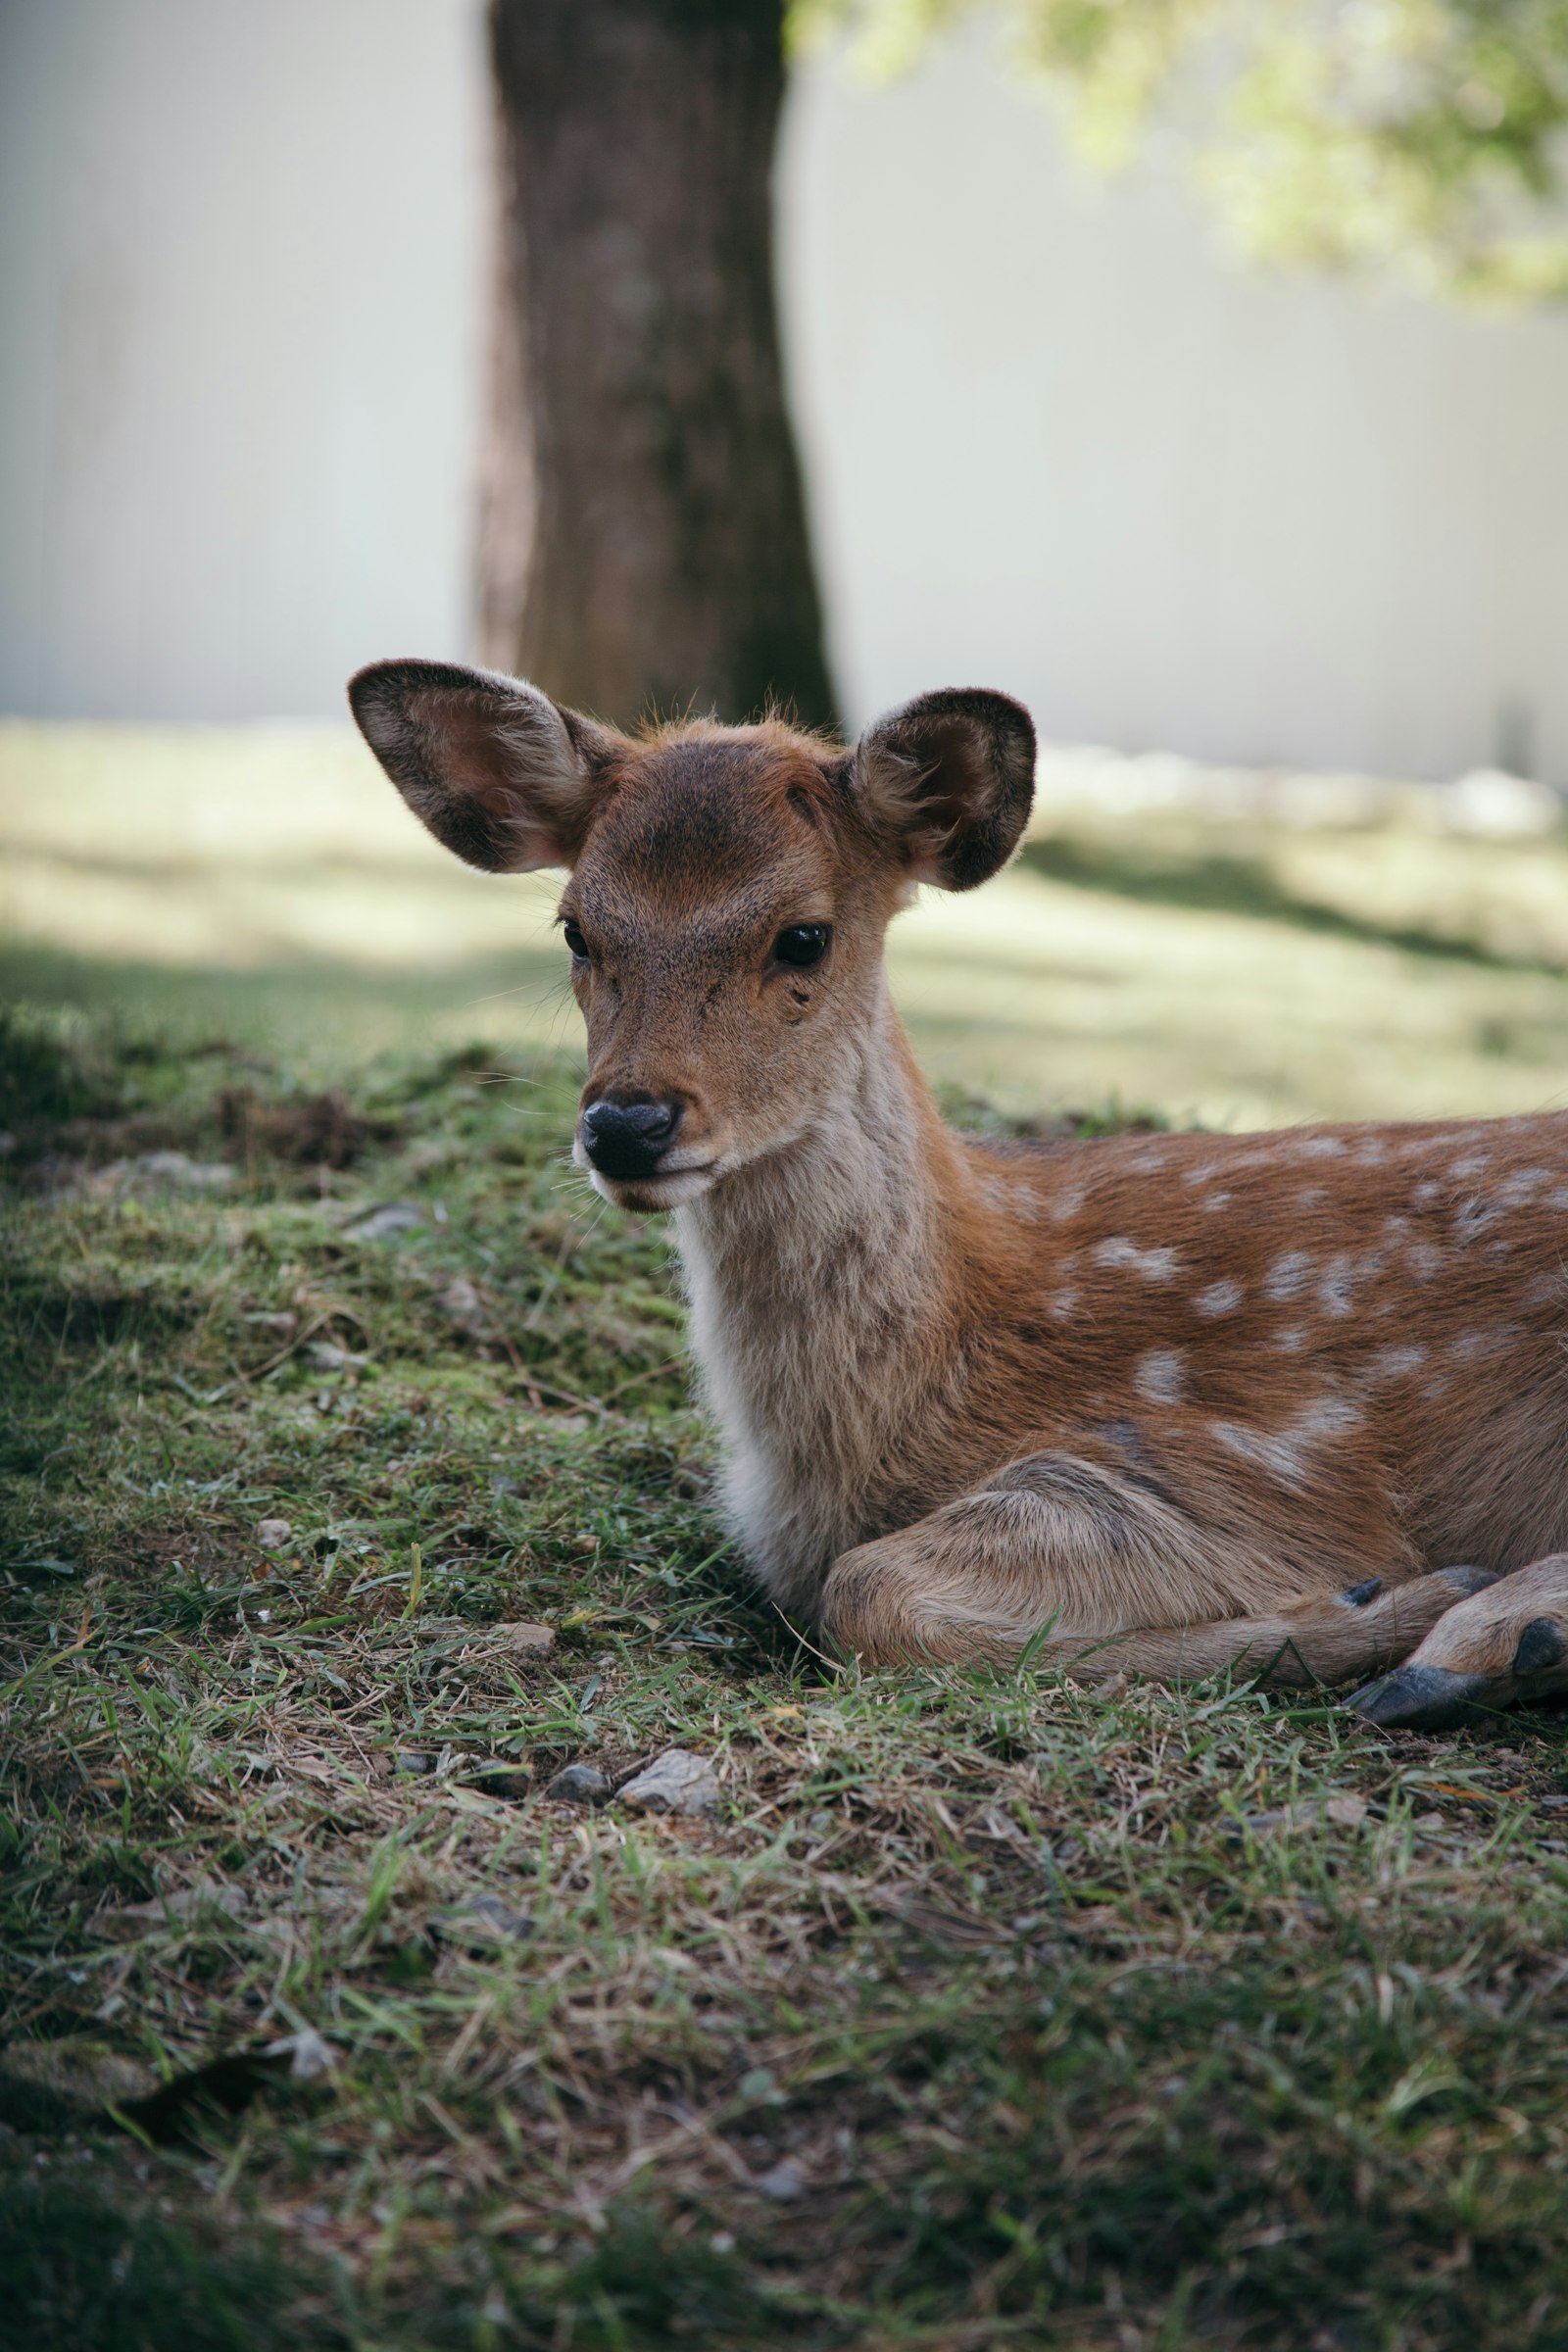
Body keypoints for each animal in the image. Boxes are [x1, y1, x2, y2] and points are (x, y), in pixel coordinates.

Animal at [350, 659, 1568, 1731]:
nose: (627, 1125)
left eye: (804, 935)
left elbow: (866, 1591)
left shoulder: (1259, 1468)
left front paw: (1383, 1603)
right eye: (576, 928)